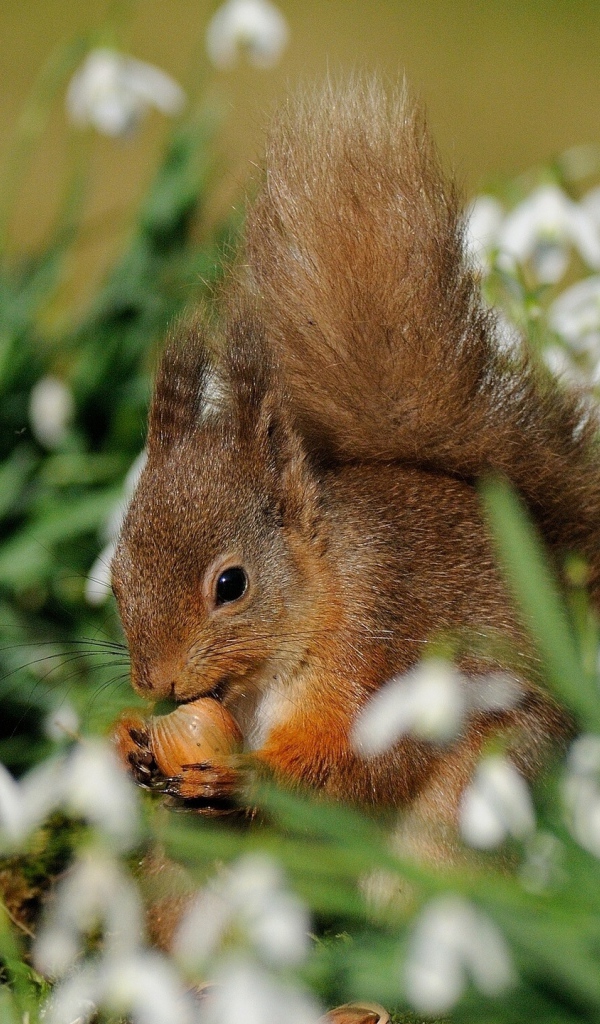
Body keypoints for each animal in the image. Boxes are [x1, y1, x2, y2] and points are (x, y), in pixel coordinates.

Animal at [111, 80, 600, 855]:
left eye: (231, 584)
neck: (323, 585)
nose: (156, 687)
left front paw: (245, 779)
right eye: (116, 582)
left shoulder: (379, 643)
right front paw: (128, 742)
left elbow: (352, 765)